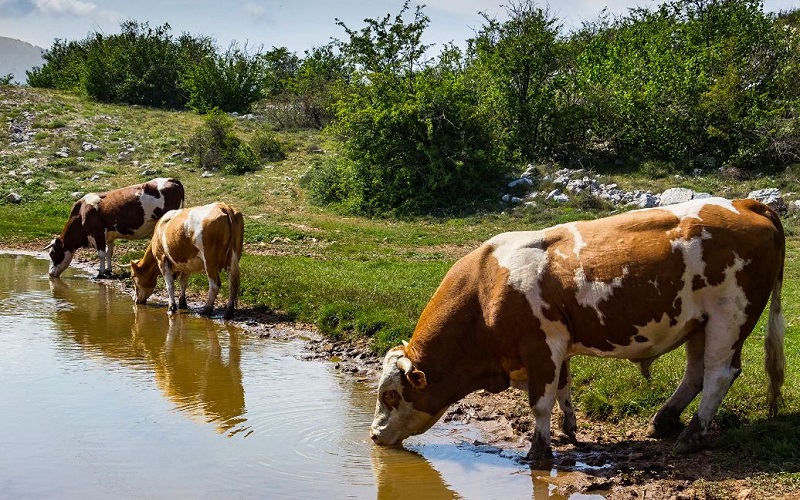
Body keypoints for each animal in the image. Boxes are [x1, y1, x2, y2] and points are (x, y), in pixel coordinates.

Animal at [45, 177, 186, 280]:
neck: (82, 213)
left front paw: (100, 273)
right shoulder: (109, 236)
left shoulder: (98, 233)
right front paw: (108, 270)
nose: (50, 274)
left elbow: (101, 254)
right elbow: (109, 252)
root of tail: (170, 179)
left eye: (52, 254)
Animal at [372, 197, 784, 462]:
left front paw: (539, 451)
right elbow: (563, 389)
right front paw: (569, 429)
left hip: (729, 318)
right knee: (696, 372)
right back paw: (663, 421)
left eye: (391, 395)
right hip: (699, 323)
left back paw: (691, 434)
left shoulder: (540, 348)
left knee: (719, 374)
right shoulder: (556, 349)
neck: (486, 287)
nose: (374, 434)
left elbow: (540, 402)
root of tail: (745, 202)